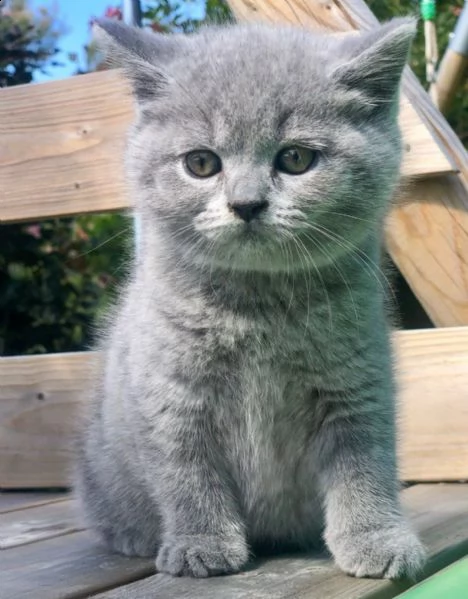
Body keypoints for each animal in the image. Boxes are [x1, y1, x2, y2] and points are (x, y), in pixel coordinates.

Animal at [76, 18, 428, 580]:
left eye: (296, 158)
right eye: (201, 163)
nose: (246, 204)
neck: (258, 308)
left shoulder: (356, 386)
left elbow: (364, 464)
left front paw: (375, 538)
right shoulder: (170, 394)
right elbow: (186, 473)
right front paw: (201, 543)